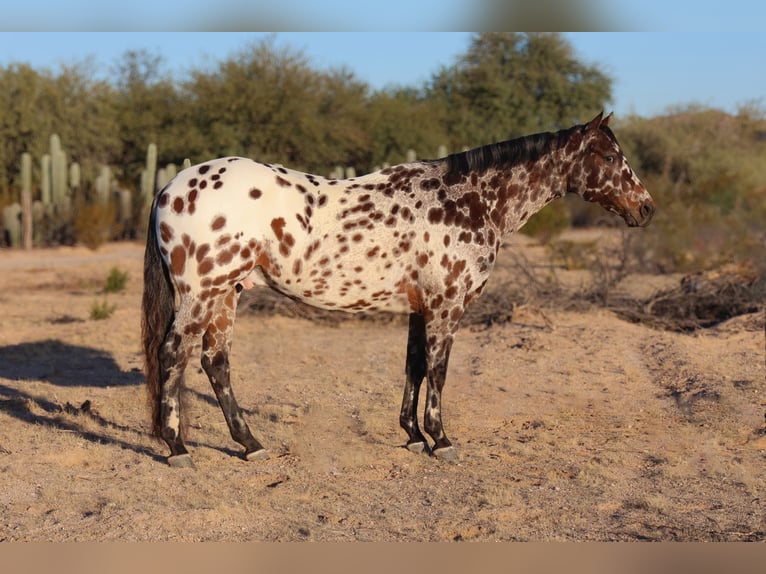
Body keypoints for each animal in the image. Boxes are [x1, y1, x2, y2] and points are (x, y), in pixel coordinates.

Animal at [140, 111, 656, 468]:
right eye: (611, 157)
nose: (646, 208)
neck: (470, 200)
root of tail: (170, 186)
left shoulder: (419, 307)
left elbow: (414, 366)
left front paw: (412, 435)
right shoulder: (446, 307)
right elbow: (439, 372)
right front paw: (441, 441)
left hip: (227, 294)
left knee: (215, 362)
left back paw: (249, 445)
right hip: (202, 295)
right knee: (174, 354)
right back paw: (179, 448)